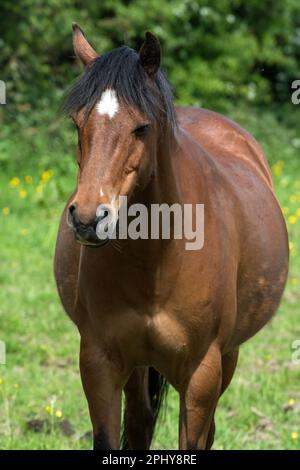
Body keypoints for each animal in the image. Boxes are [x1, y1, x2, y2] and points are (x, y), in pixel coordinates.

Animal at [54, 23, 288, 450]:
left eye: (142, 127)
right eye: (78, 124)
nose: (89, 219)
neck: (156, 262)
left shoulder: (202, 374)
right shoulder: (99, 363)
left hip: (228, 357)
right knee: (140, 424)